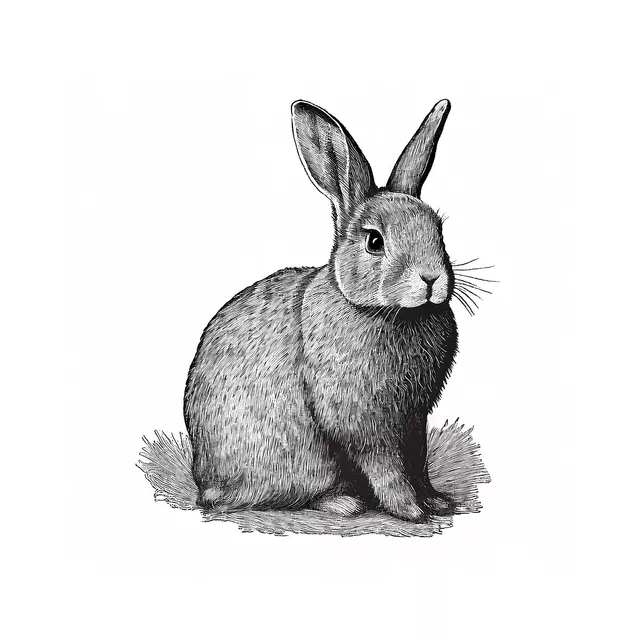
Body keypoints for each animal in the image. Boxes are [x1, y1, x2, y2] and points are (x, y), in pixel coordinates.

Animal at [184, 99, 458, 522]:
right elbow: (387, 467)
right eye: (374, 241)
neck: (384, 312)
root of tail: (206, 484)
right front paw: (411, 510)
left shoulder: (413, 423)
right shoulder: (364, 423)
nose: (431, 278)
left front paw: (437, 502)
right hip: (304, 464)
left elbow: (418, 463)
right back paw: (343, 503)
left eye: (438, 229)